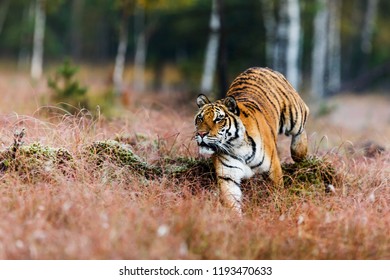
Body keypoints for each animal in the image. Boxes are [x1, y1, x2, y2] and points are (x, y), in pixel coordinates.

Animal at [193, 66, 310, 213]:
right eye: (200, 118)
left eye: (218, 119)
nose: (201, 133)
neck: (236, 146)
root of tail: (261, 67)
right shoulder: (228, 176)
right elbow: (231, 201)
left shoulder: (273, 169)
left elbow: (277, 193)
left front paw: (277, 208)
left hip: (294, 113)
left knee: (303, 119)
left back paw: (299, 152)